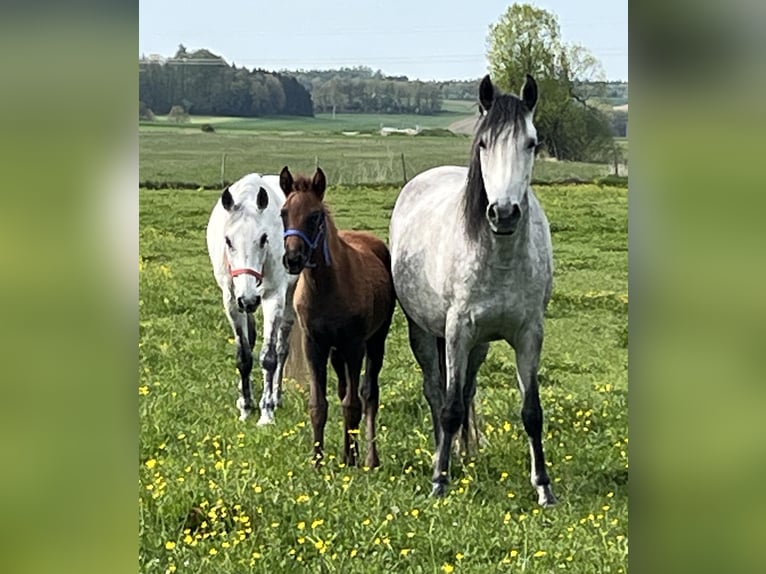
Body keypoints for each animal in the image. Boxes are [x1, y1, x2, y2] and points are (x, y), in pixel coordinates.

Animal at [206, 172, 299, 425]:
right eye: (228, 240)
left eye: (264, 238)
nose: (248, 300)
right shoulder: (231, 301)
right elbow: (244, 356)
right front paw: (245, 406)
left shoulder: (273, 297)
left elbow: (269, 357)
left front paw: (266, 413)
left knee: (282, 347)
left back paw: (276, 397)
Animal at [280, 166, 395, 468]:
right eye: (283, 213)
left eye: (315, 216)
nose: (292, 259)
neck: (327, 288)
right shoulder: (315, 345)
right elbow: (318, 405)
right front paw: (317, 462)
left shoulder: (354, 346)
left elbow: (353, 404)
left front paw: (353, 459)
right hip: (335, 352)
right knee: (345, 389)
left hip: (376, 341)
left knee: (369, 394)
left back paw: (369, 458)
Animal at [388, 74, 557, 506]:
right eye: (483, 144)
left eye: (531, 143)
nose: (504, 213)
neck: (500, 257)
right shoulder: (456, 331)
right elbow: (448, 407)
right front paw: (439, 479)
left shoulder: (529, 334)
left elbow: (531, 412)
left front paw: (543, 486)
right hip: (425, 332)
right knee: (437, 392)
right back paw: (441, 455)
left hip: (479, 346)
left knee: (466, 392)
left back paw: (465, 454)